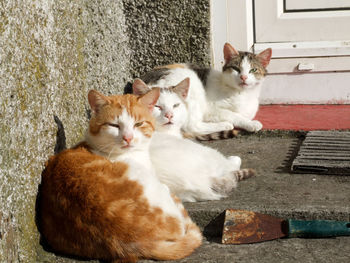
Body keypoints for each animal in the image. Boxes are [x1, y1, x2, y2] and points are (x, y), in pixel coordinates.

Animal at [135, 41, 272, 138]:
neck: (242, 94)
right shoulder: (211, 110)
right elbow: (233, 115)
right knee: (192, 127)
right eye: (236, 69)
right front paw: (251, 123)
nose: (243, 77)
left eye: (253, 70)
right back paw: (225, 125)